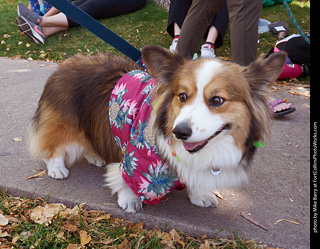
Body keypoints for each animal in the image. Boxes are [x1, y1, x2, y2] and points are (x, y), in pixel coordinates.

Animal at [28, 44, 286, 212]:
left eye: (217, 100)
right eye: (182, 96)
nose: (180, 132)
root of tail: (68, 61)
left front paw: (200, 195)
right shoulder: (137, 160)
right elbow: (126, 179)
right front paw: (129, 199)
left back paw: (95, 157)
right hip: (64, 123)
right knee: (55, 145)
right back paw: (57, 168)